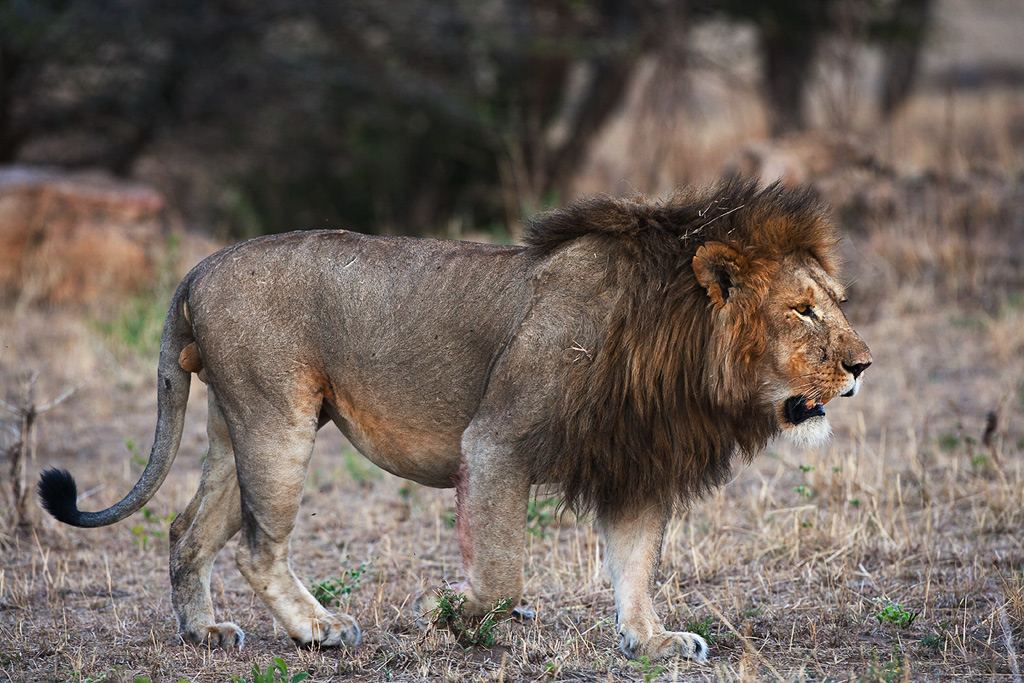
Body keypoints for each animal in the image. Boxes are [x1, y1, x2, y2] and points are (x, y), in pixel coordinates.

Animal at [39, 179, 871, 663]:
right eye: (801, 310)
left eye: (838, 301)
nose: (863, 365)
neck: (679, 346)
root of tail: (200, 267)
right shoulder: (496, 438)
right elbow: (502, 570)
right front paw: (456, 614)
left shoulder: (633, 460)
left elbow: (635, 564)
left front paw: (652, 640)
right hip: (277, 418)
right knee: (254, 545)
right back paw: (321, 630)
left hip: (231, 422)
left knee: (188, 528)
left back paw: (201, 631)